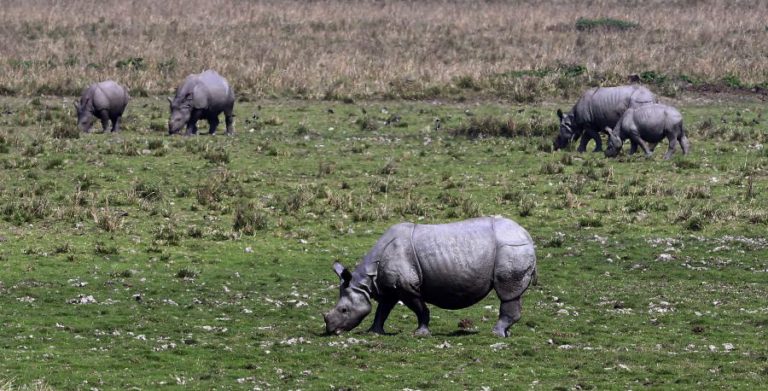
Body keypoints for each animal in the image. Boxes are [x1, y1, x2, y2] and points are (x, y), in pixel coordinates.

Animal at [322, 216, 536, 338]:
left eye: (343, 310)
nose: (330, 330)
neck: (366, 281)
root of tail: (526, 234)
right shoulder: (389, 288)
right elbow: (382, 310)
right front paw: (374, 333)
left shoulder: (407, 287)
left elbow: (420, 310)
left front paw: (420, 334)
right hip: (513, 247)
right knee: (512, 295)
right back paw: (506, 333)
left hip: (511, 247)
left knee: (507, 293)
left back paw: (496, 334)